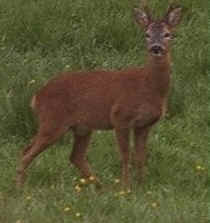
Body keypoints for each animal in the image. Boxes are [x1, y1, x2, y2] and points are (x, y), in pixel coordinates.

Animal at [16, 4, 182, 187]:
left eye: (168, 34)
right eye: (147, 34)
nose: (156, 48)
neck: (149, 87)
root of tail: (37, 97)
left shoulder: (144, 124)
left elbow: (140, 157)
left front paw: (142, 185)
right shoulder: (120, 116)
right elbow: (125, 155)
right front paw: (126, 187)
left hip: (81, 127)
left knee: (74, 156)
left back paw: (99, 187)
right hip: (52, 121)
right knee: (27, 152)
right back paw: (20, 188)